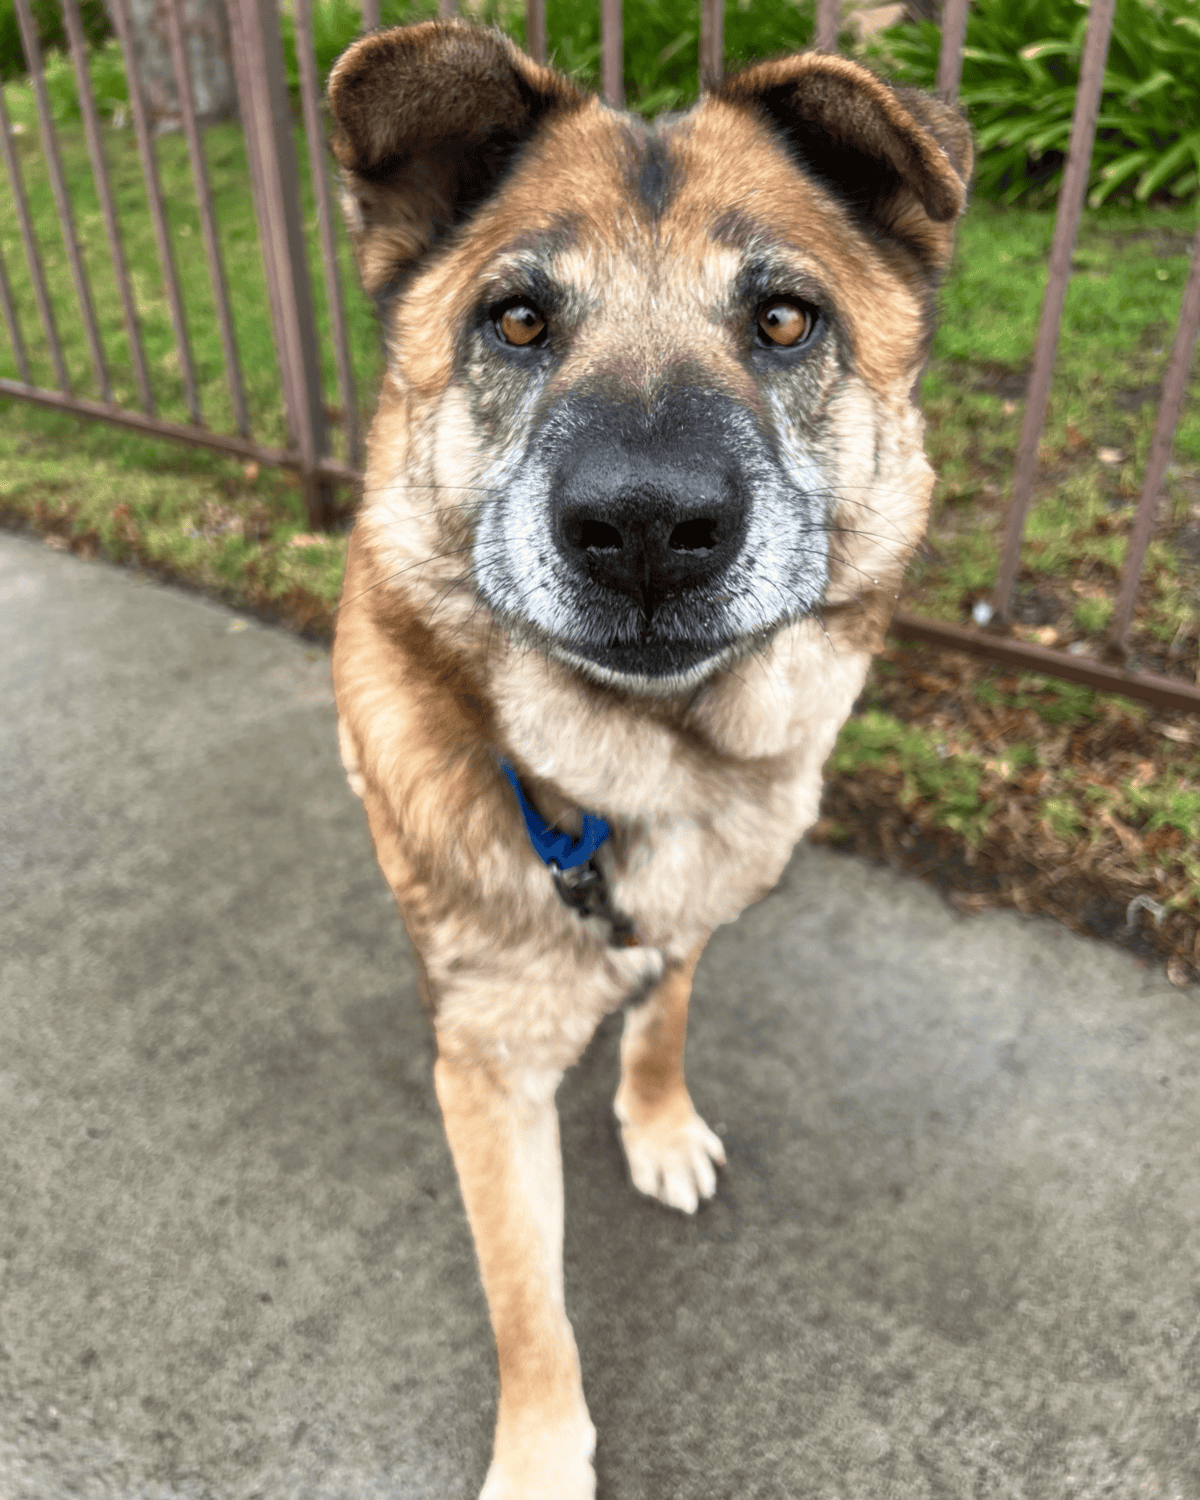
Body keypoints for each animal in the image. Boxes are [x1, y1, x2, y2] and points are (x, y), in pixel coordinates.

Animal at [324, 20, 972, 1488]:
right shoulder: (486, 1077)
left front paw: (658, 1121)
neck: (627, 777)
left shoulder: (693, 914)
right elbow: (529, 1307)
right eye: (517, 320)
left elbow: (665, 1014)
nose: (644, 527)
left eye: (784, 319)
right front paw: (542, 1457)